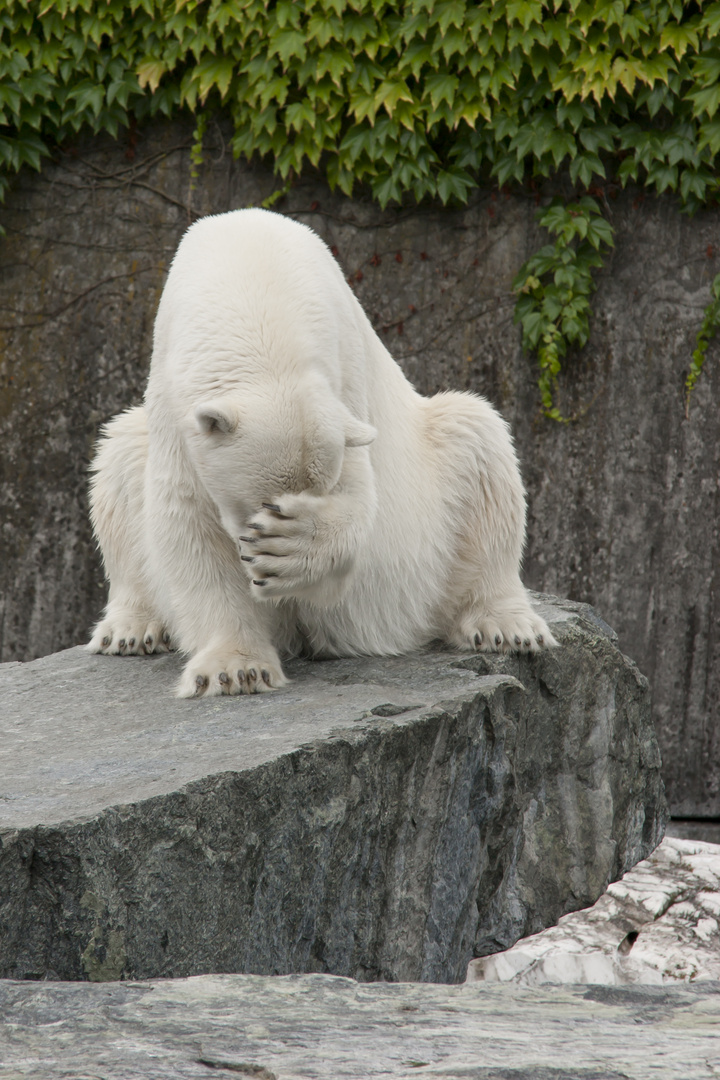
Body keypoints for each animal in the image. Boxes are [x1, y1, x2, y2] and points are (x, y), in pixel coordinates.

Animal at [85, 208, 557, 699]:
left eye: (308, 496)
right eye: (262, 501)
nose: (261, 561)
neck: (254, 277)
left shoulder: (345, 374)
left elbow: (359, 497)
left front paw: (292, 547)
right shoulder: (173, 397)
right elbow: (188, 521)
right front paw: (235, 670)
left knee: (477, 438)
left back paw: (506, 625)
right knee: (118, 456)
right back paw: (129, 629)